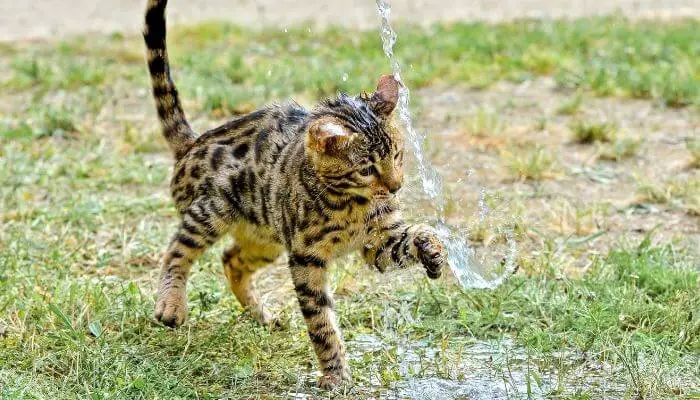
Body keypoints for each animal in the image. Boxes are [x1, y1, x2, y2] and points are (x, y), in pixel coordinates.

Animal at [143, 0, 448, 390]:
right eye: (368, 169)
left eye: (397, 155)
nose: (395, 187)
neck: (352, 204)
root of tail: (194, 143)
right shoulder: (306, 256)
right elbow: (321, 323)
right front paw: (335, 374)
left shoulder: (378, 243)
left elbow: (410, 239)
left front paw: (432, 249)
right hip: (215, 209)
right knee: (178, 249)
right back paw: (171, 305)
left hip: (267, 235)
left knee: (231, 259)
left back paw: (262, 316)